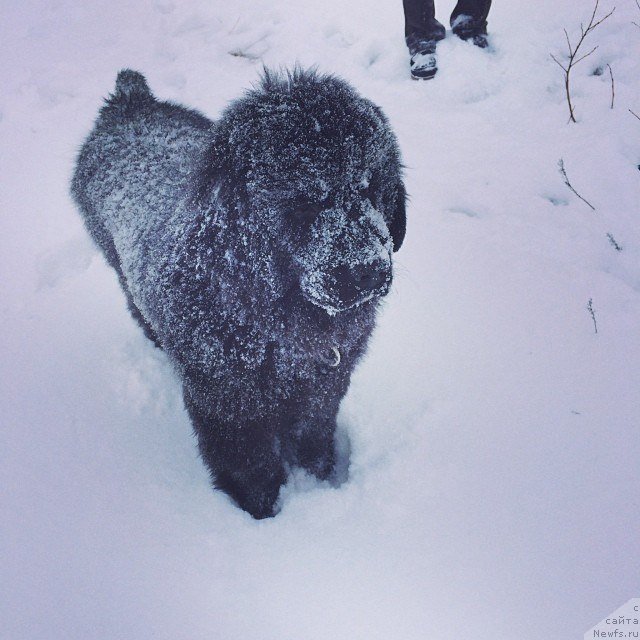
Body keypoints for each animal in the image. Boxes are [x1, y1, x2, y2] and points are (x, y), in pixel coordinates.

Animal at [72, 69, 408, 520]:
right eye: (304, 202)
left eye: (371, 189)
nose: (369, 271)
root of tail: (130, 101)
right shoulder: (230, 412)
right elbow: (253, 471)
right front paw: (261, 515)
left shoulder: (325, 389)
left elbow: (313, 438)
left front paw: (320, 477)